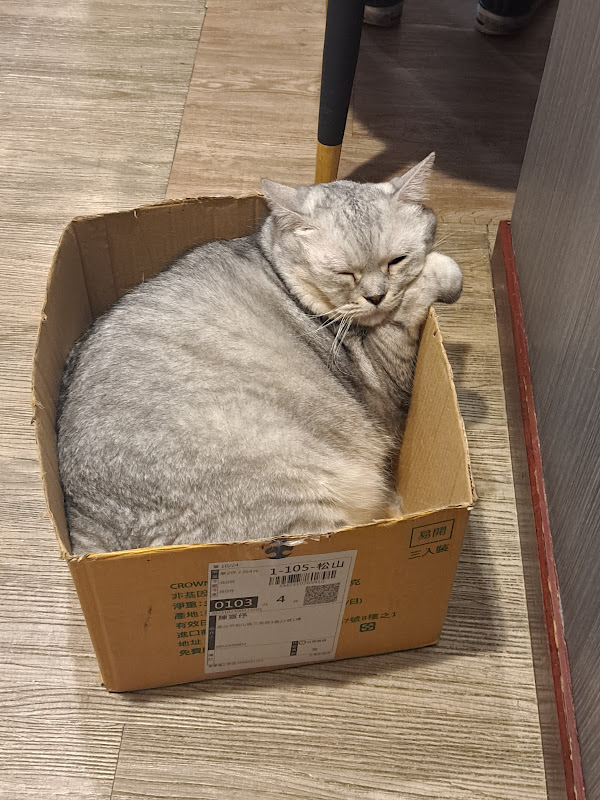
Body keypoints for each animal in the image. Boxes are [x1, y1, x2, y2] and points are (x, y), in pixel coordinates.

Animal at [56, 153, 462, 554]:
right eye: (343, 273)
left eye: (396, 261)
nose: (376, 296)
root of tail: (91, 530)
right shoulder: (387, 364)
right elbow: (424, 285)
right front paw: (446, 272)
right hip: (300, 509)